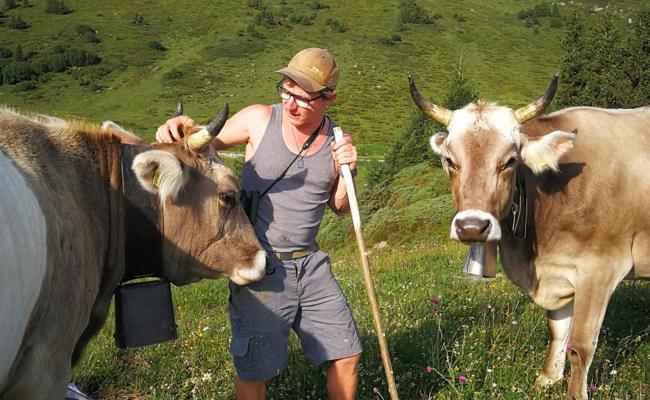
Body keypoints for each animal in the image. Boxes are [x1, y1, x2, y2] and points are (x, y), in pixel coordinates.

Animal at [409, 74, 650, 399]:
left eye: (510, 161)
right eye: (449, 160)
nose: (472, 227)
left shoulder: (601, 268)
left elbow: (580, 346)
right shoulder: (559, 270)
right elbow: (557, 331)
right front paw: (546, 380)